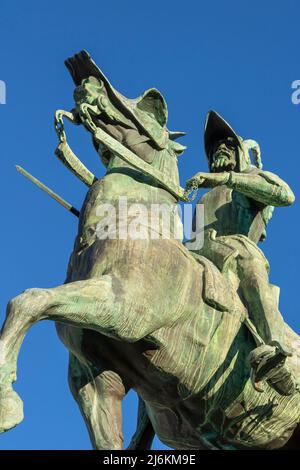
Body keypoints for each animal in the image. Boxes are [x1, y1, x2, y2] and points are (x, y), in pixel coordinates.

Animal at [0, 50, 300, 448]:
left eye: (152, 105)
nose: (86, 78)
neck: (129, 229)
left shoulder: (122, 309)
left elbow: (30, 299)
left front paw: (6, 404)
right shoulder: (97, 381)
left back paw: (274, 363)